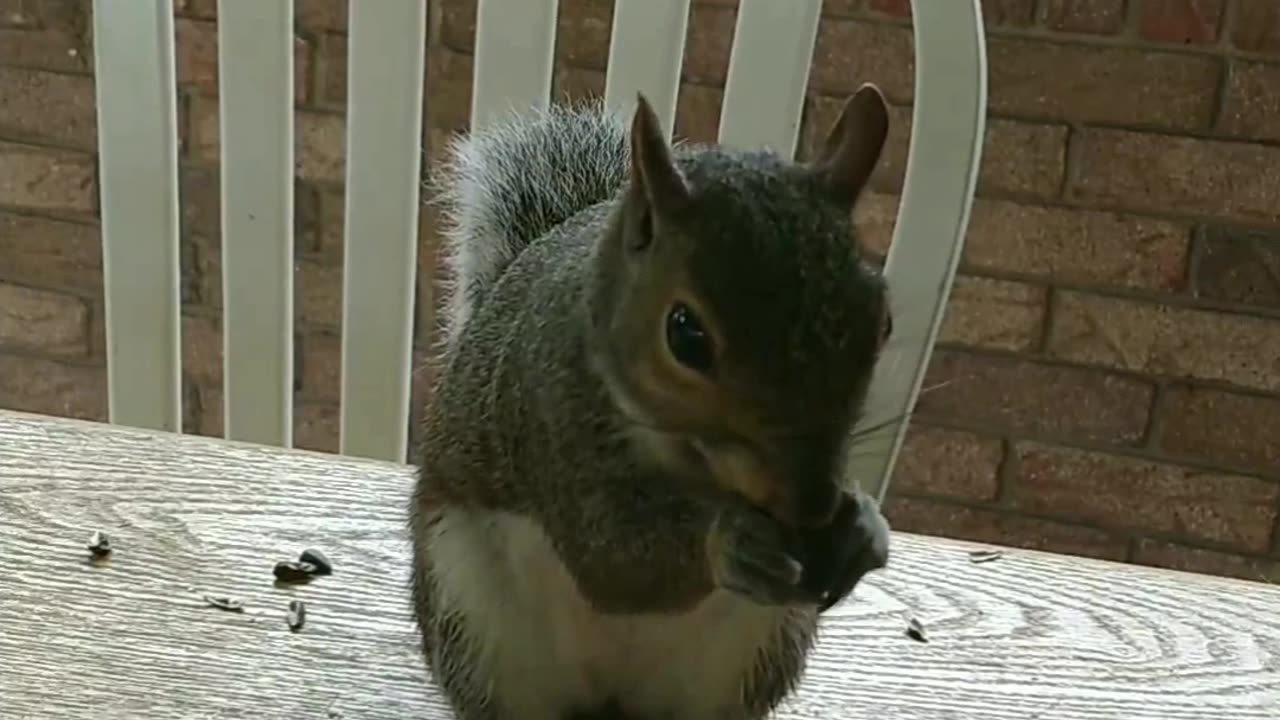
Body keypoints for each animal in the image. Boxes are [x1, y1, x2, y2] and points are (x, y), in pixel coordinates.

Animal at [414, 81, 896, 712]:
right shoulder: (548, 419)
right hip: (474, 619)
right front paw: (726, 543)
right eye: (685, 335)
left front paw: (864, 526)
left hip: (749, 650)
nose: (814, 504)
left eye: (883, 321)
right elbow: (612, 562)